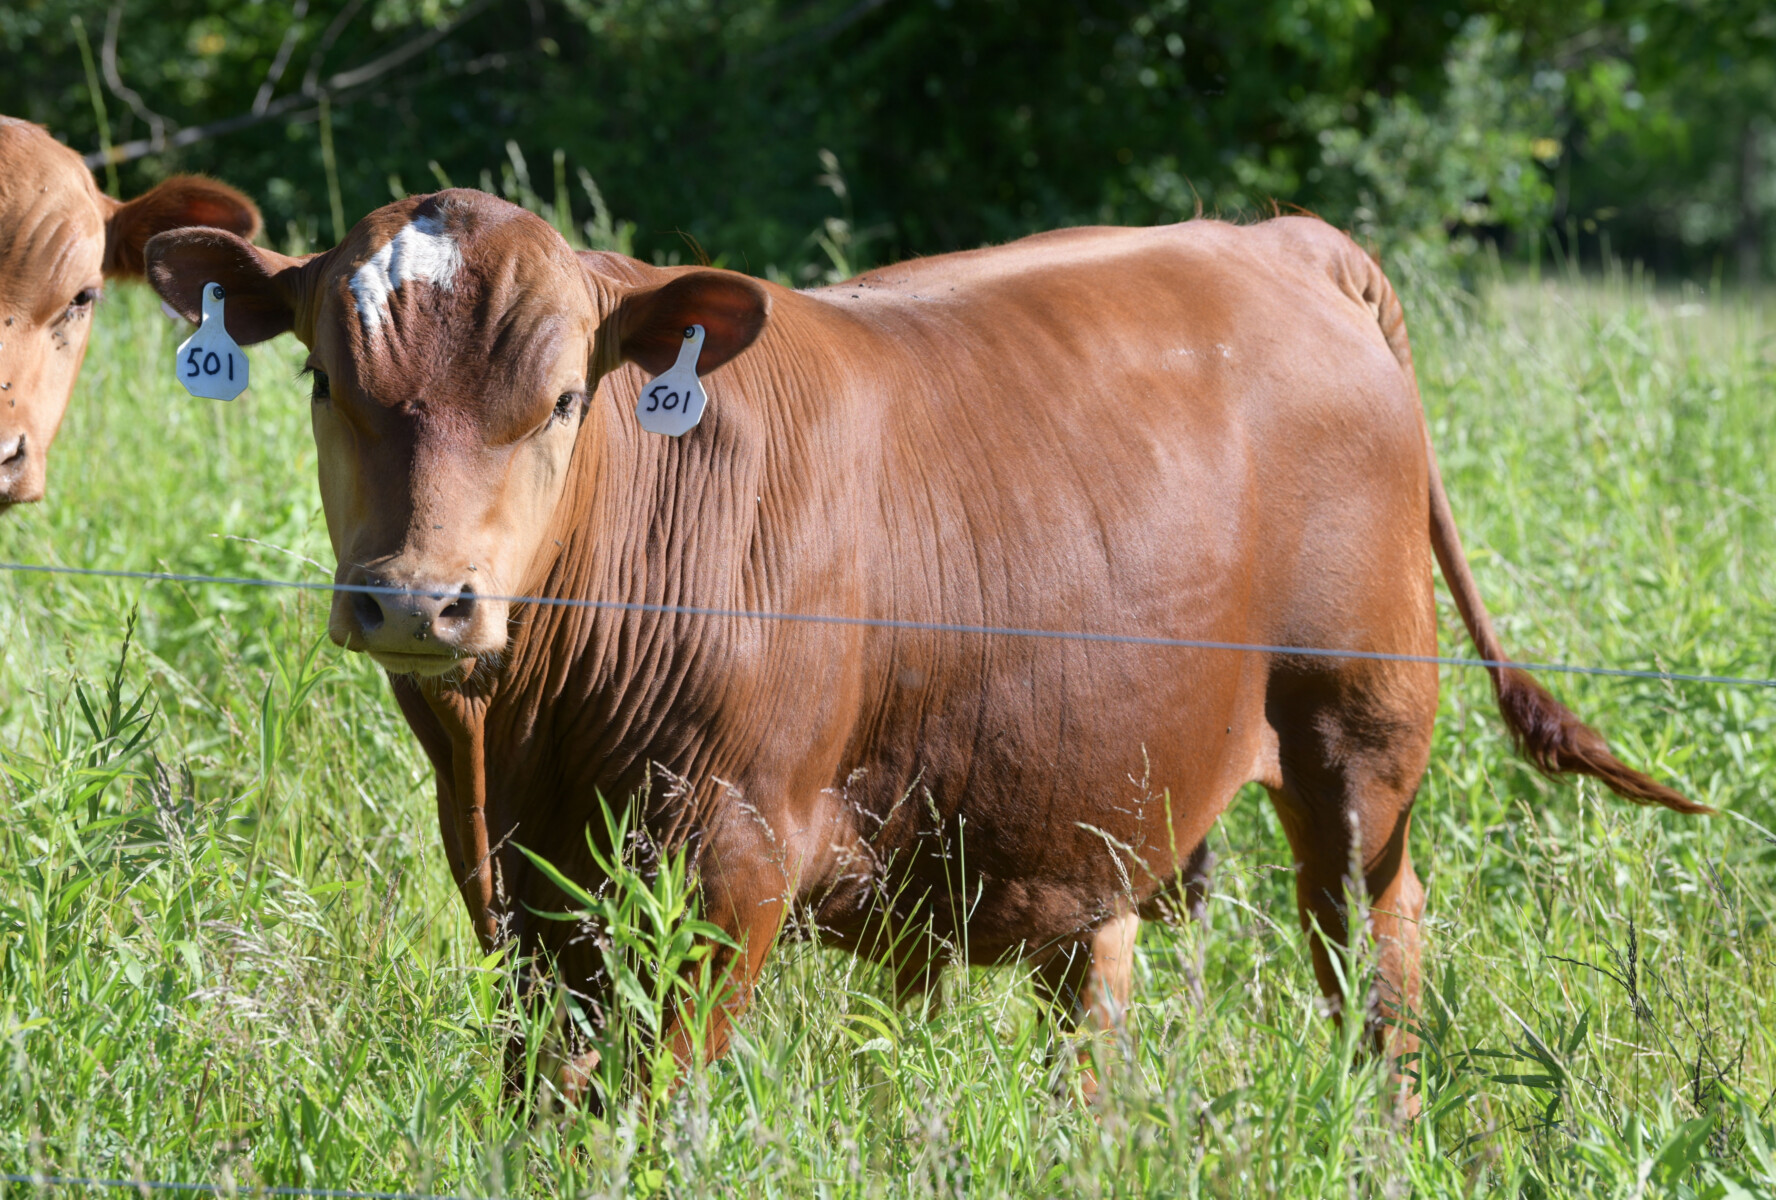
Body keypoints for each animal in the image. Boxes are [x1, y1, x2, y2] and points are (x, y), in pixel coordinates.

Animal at [144, 189, 1705, 1107]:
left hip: (1358, 738)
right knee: (1101, 987)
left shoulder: (728, 860)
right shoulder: (524, 885)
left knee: (1372, 952)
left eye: (565, 396)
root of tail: (1277, 239)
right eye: (326, 378)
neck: (520, 735)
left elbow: (653, 1095)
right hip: (1097, 778)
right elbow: (553, 1086)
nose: (419, 603)